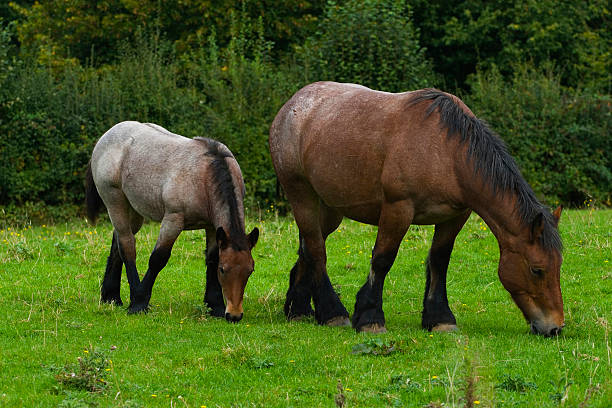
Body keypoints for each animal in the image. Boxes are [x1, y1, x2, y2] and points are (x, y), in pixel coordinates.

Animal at [86, 121, 258, 322]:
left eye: (250, 270)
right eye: (223, 270)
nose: (234, 315)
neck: (205, 176)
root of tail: (106, 136)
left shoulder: (212, 227)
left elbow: (212, 259)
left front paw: (215, 306)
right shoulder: (173, 220)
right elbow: (157, 259)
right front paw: (139, 304)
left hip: (134, 211)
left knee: (117, 242)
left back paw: (111, 297)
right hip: (115, 202)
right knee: (127, 246)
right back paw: (132, 294)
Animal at [270, 82, 568, 334]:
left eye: (558, 266)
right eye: (537, 269)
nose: (555, 327)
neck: (446, 152)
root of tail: (291, 106)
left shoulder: (454, 216)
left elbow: (439, 261)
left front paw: (440, 319)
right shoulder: (398, 209)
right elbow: (382, 259)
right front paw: (369, 318)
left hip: (330, 210)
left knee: (308, 248)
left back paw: (299, 308)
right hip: (302, 197)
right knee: (316, 251)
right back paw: (332, 312)